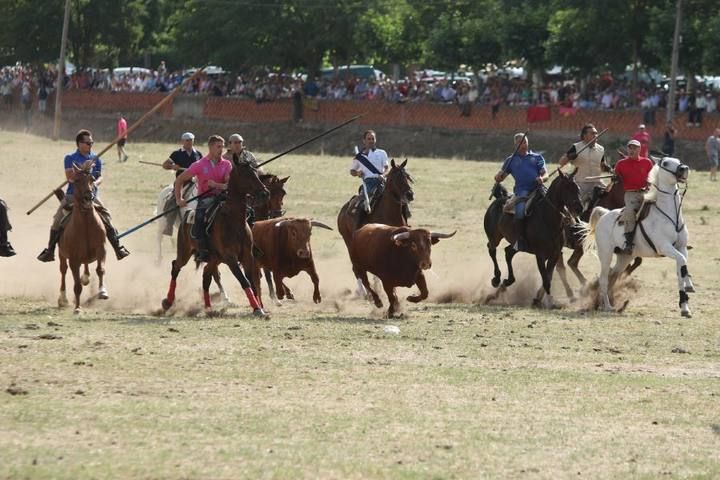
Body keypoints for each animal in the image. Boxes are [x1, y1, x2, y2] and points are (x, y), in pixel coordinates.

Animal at [58, 163, 108, 314]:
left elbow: (100, 269)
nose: (88, 197)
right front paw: (77, 308)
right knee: (63, 271)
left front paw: (102, 291)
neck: (85, 223)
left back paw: (86, 277)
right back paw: (62, 298)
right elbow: (77, 285)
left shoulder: (101, 249)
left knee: (86, 266)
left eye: (92, 179)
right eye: (77, 180)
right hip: (61, 254)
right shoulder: (73, 259)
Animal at [161, 158, 270, 316]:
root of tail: (186, 215)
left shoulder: (247, 256)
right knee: (176, 266)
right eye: (245, 174)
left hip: (214, 258)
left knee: (206, 276)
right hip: (185, 251)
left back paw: (208, 307)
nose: (265, 193)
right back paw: (168, 302)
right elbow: (244, 281)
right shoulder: (231, 258)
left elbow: (252, 281)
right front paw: (257, 308)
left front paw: (259, 308)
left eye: (255, 172)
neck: (233, 221)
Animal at [484, 171, 584, 308]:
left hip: (516, 245)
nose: (580, 208)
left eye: (578, 188)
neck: (547, 218)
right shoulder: (540, 255)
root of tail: (498, 201)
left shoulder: (555, 254)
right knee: (492, 249)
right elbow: (546, 279)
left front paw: (542, 300)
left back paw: (507, 282)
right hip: (494, 237)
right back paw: (496, 279)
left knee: (508, 253)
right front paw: (548, 302)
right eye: (567, 187)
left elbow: (549, 276)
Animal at [584, 156, 696, 316]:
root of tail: (605, 214)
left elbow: (683, 266)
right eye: (665, 163)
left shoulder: (681, 247)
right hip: (605, 254)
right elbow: (682, 261)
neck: (671, 216)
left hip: (624, 257)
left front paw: (686, 298)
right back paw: (607, 306)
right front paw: (686, 296)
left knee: (613, 275)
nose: (684, 169)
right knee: (604, 279)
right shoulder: (665, 248)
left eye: (678, 160)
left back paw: (607, 303)